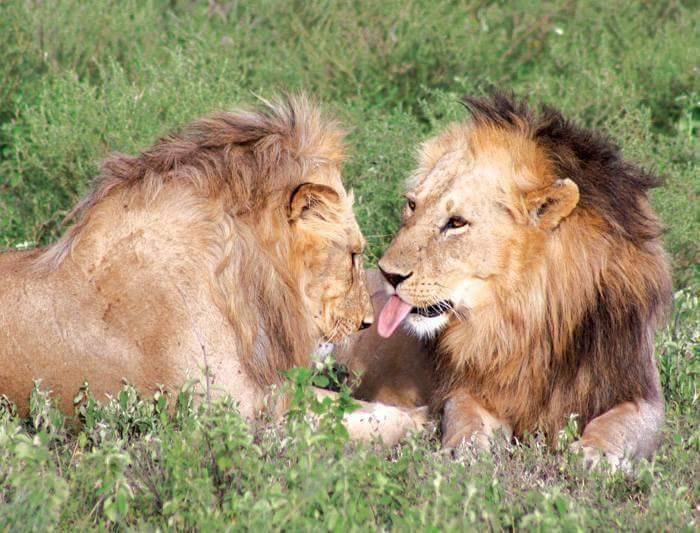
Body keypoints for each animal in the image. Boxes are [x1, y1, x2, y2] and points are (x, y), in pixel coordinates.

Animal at [0, 95, 424, 445]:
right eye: (353, 254)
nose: (367, 323)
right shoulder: (230, 415)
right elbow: (353, 421)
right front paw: (424, 423)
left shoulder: (269, 391)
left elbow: (353, 405)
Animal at [357, 93, 672, 467]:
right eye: (412, 205)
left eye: (456, 222)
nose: (387, 273)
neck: (525, 316)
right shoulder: (470, 387)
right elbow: (465, 415)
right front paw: (464, 448)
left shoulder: (640, 391)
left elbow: (617, 425)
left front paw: (593, 455)